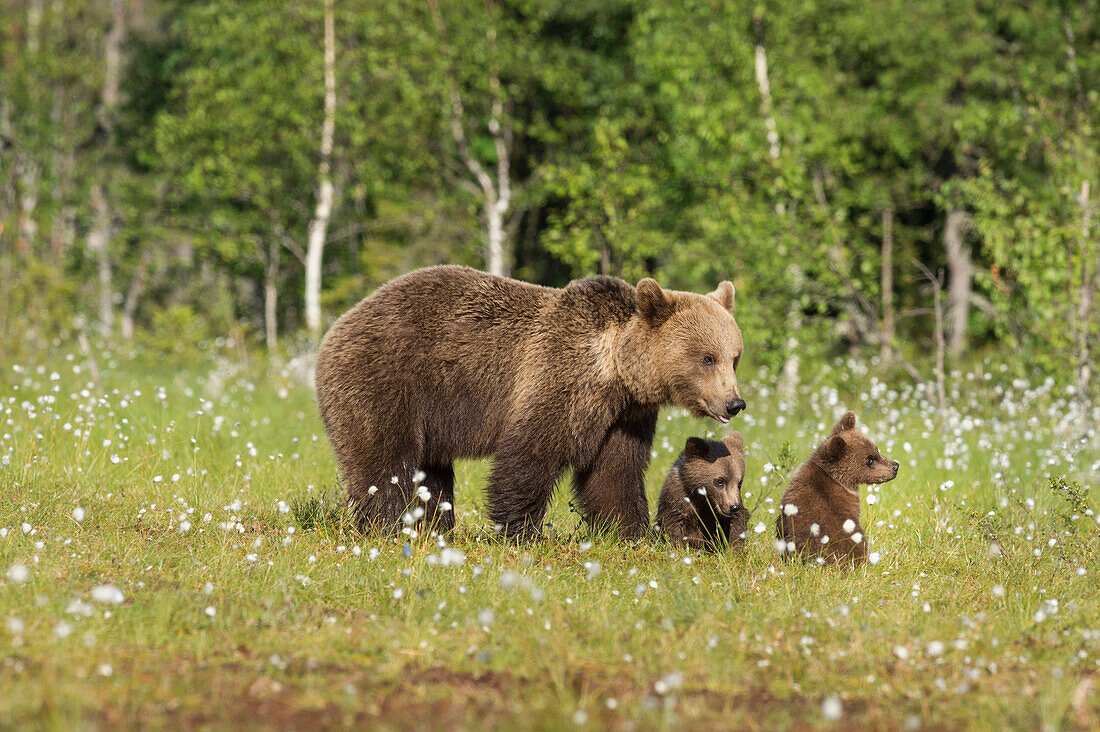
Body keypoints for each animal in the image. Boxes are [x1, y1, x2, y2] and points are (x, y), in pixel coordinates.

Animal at [319, 265, 748, 539]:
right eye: (706, 357)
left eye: (734, 356)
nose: (734, 403)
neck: (615, 370)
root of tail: (338, 325)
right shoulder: (558, 379)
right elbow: (530, 455)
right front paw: (519, 530)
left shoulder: (623, 416)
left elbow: (613, 472)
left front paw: (628, 531)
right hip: (388, 380)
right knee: (385, 460)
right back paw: (389, 526)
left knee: (433, 473)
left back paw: (434, 527)